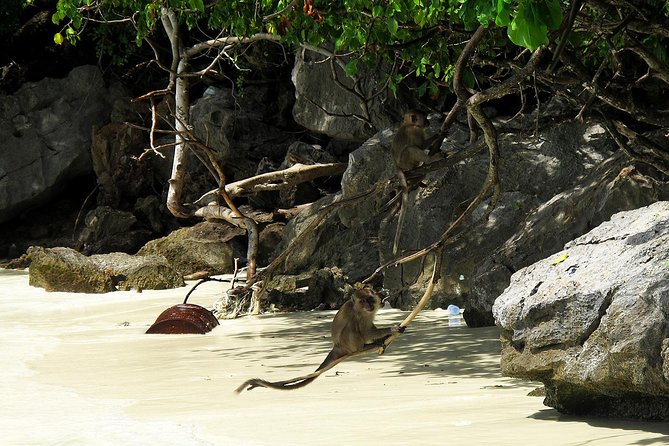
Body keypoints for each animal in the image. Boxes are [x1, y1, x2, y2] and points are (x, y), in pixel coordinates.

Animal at [235, 286, 405, 392]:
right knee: (352, 329)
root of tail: (337, 346)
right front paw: (391, 330)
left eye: (370, 299)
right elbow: (366, 332)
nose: (369, 305)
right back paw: (364, 347)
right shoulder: (360, 316)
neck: (362, 311)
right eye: (362, 301)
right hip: (347, 343)